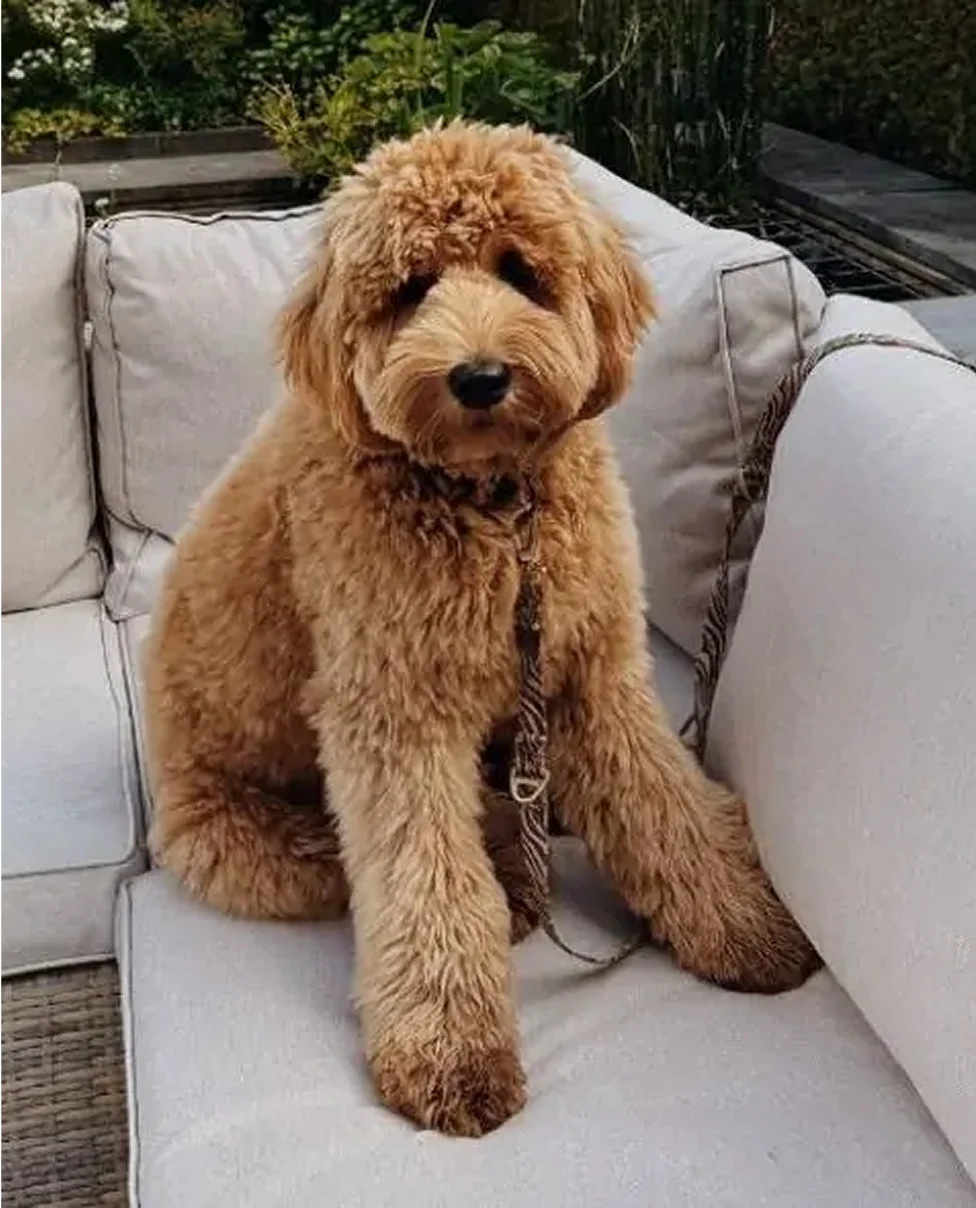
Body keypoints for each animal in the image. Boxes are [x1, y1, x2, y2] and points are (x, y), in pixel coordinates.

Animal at [143, 120, 819, 1138]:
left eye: (520, 271)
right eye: (411, 287)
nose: (480, 377)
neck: (497, 506)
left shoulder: (593, 670)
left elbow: (664, 805)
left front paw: (748, 928)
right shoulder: (395, 712)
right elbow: (428, 880)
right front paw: (451, 1055)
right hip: (249, 839)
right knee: (411, 860)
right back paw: (511, 872)